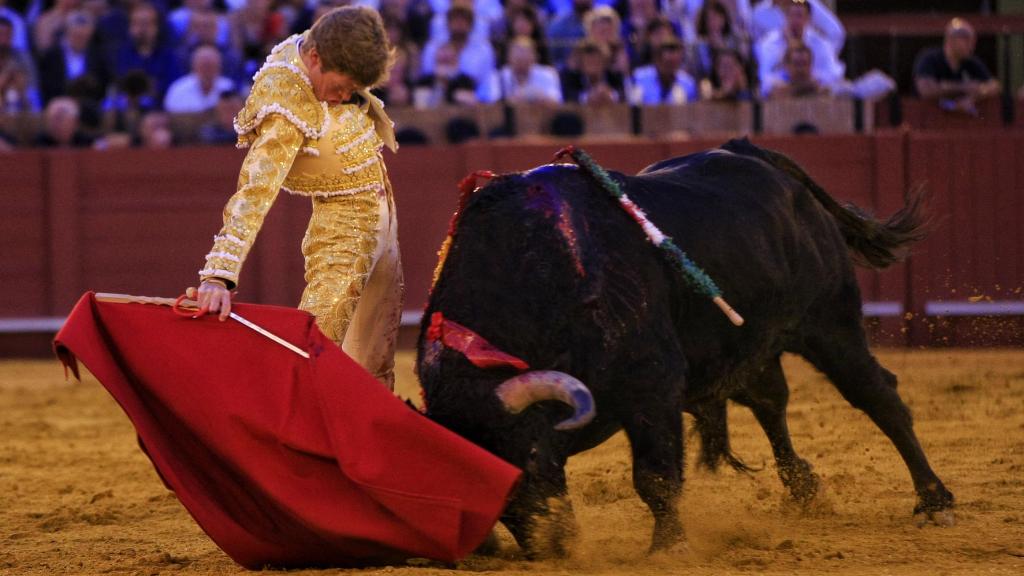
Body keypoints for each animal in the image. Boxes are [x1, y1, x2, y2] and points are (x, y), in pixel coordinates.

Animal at [413, 136, 950, 553]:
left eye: (526, 456)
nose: (554, 547)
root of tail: (754, 153)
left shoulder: (653, 384)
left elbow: (653, 476)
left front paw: (668, 547)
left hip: (830, 322)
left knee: (878, 396)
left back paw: (933, 500)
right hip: (750, 340)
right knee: (770, 402)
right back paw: (805, 489)